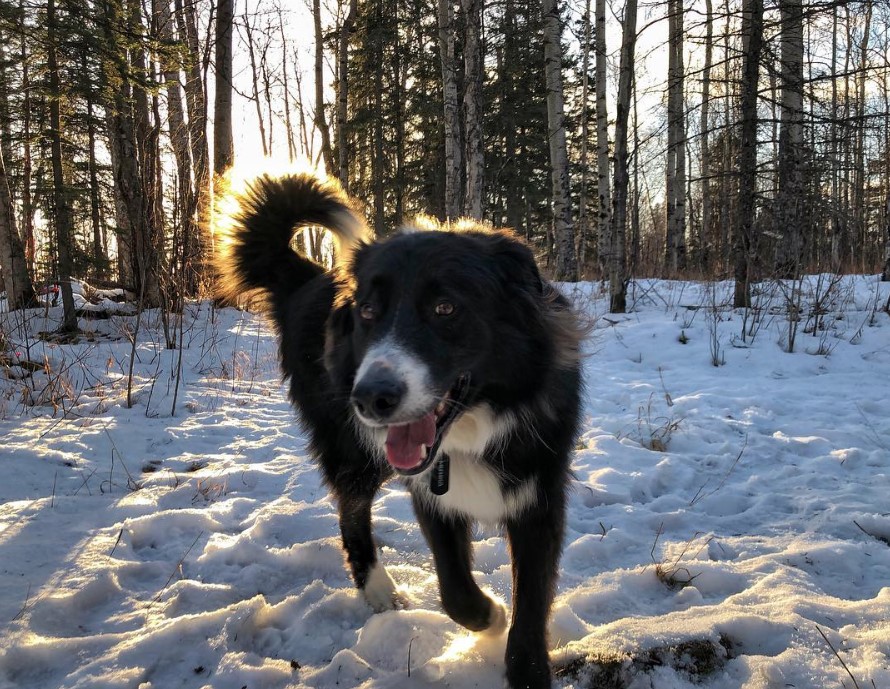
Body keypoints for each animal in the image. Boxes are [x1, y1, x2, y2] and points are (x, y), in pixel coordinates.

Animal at [215, 172, 584, 688]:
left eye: (445, 307)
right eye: (368, 311)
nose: (370, 398)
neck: (472, 428)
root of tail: (308, 277)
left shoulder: (539, 495)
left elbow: (531, 603)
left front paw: (524, 665)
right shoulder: (431, 494)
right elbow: (455, 592)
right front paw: (491, 617)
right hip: (352, 452)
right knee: (351, 515)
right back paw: (378, 589)